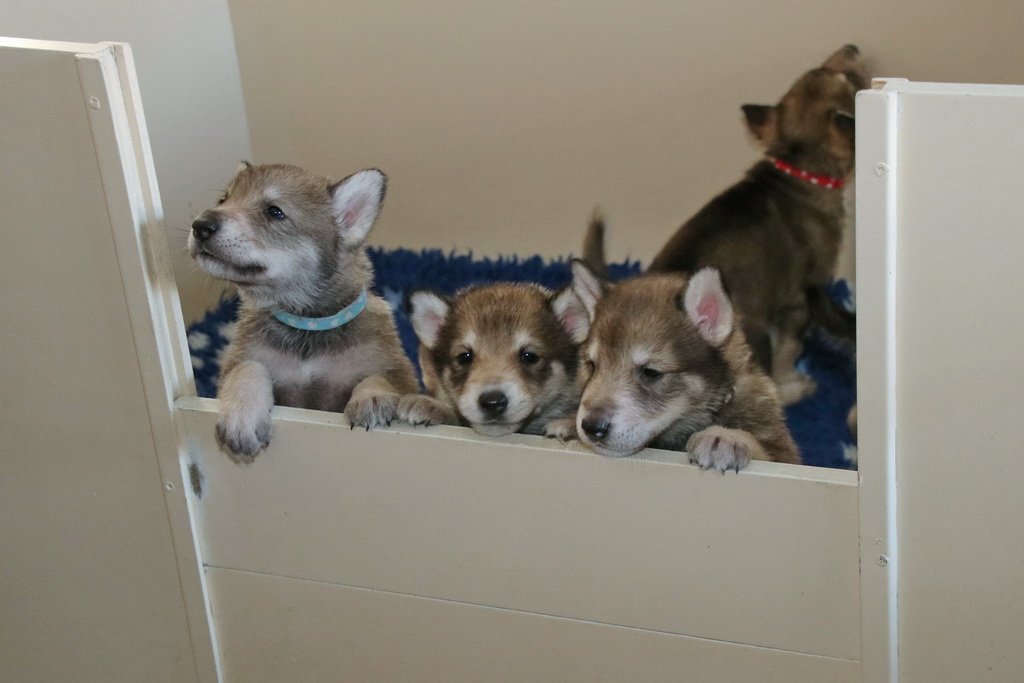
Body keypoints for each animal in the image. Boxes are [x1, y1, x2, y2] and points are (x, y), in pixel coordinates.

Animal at [188, 162, 418, 461]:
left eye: (274, 211)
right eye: (223, 200)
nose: (200, 225)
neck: (307, 323)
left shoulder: (399, 372)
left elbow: (381, 377)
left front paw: (372, 398)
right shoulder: (240, 362)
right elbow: (248, 368)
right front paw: (242, 417)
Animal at [570, 260, 800, 471]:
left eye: (651, 372)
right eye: (592, 365)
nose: (591, 427)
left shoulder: (785, 454)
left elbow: (760, 447)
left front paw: (724, 436)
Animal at [589, 45, 865, 406]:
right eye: (843, 78)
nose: (852, 48)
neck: (798, 170)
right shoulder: (801, 300)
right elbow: (789, 352)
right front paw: (792, 380)